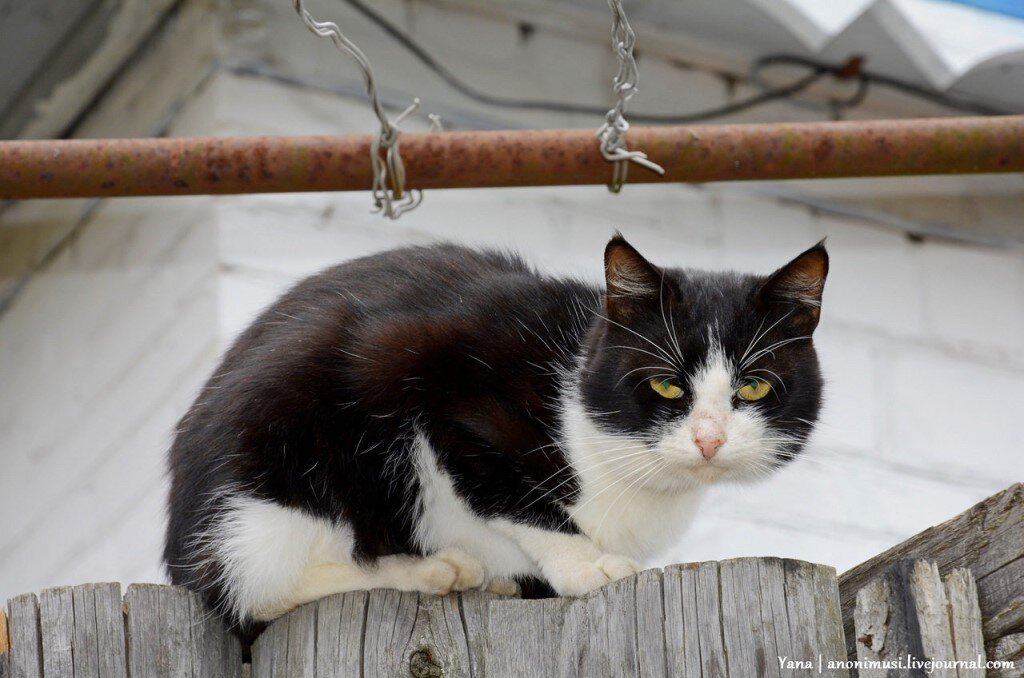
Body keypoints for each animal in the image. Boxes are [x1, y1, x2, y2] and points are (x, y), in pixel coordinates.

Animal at [163, 236, 827, 630]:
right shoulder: (435, 388)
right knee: (260, 587)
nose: (709, 440)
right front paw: (586, 566)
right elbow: (515, 495)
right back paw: (430, 570)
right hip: (281, 462)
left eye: (754, 389)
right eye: (665, 385)